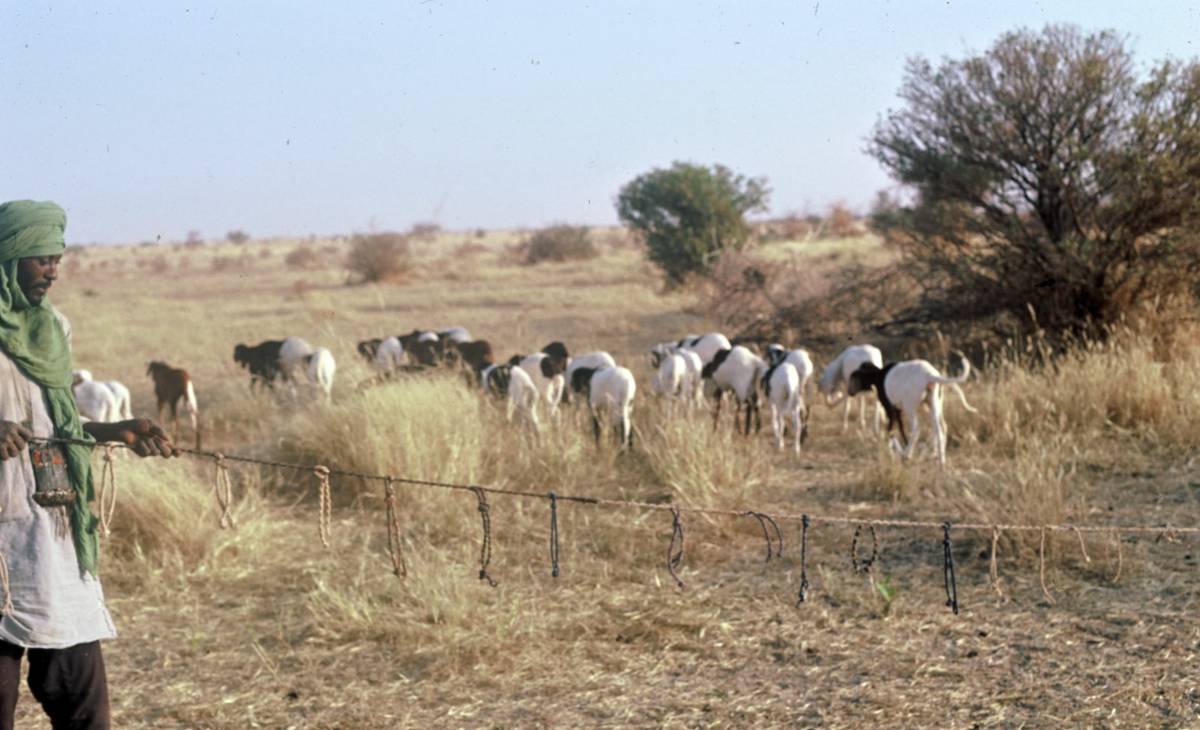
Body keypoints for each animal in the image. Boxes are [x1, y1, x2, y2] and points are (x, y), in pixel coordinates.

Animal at [849, 355, 979, 468]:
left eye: (854, 377)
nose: (850, 392)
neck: (879, 375)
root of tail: (930, 375)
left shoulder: (890, 408)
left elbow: (891, 430)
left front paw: (897, 451)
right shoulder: (898, 410)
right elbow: (900, 429)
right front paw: (902, 448)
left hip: (910, 406)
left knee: (917, 429)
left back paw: (907, 455)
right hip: (933, 402)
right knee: (941, 428)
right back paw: (940, 461)